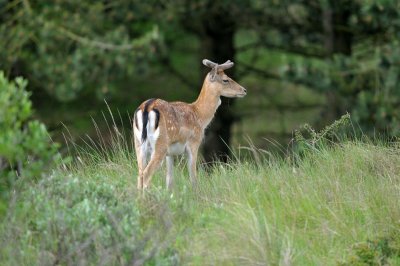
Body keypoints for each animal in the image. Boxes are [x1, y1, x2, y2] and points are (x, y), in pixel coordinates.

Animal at [134, 58, 247, 189]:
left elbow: (169, 180)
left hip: (139, 143)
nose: (244, 90)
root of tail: (147, 107)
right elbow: (193, 177)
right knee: (147, 173)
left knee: (140, 173)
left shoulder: (170, 153)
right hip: (160, 144)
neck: (200, 116)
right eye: (225, 79)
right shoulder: (194, 143)